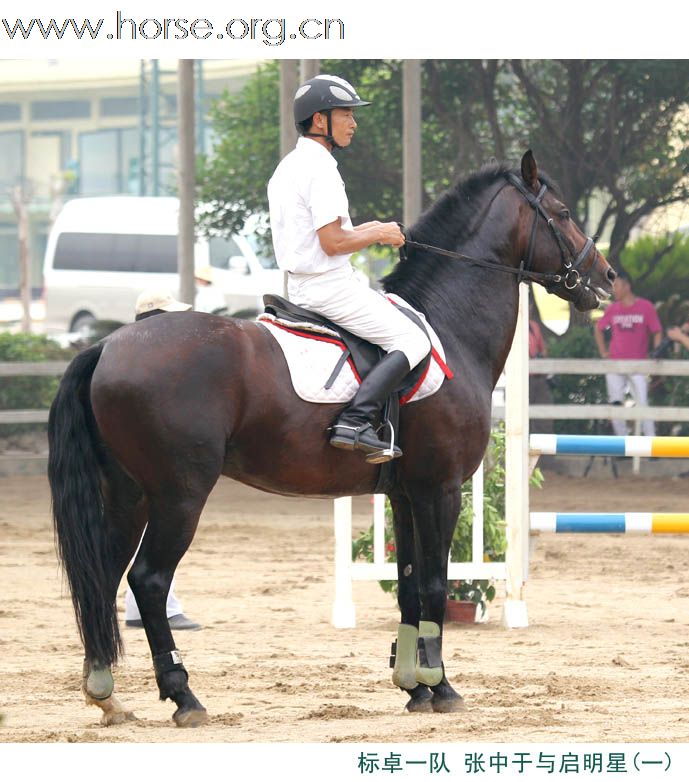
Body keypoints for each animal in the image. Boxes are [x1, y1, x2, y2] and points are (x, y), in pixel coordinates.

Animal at [51, 153, 616, 728]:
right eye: (563, 213)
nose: (606, 277)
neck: (449, 327)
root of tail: (108, 345)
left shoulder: (405, 494)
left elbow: (408, 584)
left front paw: (413, 686)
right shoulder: (440, 489)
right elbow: (435, 583)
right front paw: (441, 686)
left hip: (128, 494)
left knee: (104, 575)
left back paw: (106, 693)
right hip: (179, 495)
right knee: (148, 579)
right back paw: (183, 695)